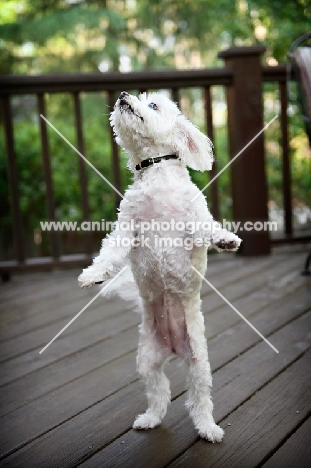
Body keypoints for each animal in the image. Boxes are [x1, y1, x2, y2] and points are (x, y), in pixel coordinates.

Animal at [77, 90, 241, 442]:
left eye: (153, 105)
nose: (122, 95)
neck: (156, 177)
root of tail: (173, 347)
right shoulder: (127, 228)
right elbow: (109, 252)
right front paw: (93, 275)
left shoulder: (194, 221)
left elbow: (207, 227)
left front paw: (225, 239)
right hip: (147, 361)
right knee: (159, 392)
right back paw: (150, 419)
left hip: (199, 362)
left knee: (199, 398)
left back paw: (208, 428)